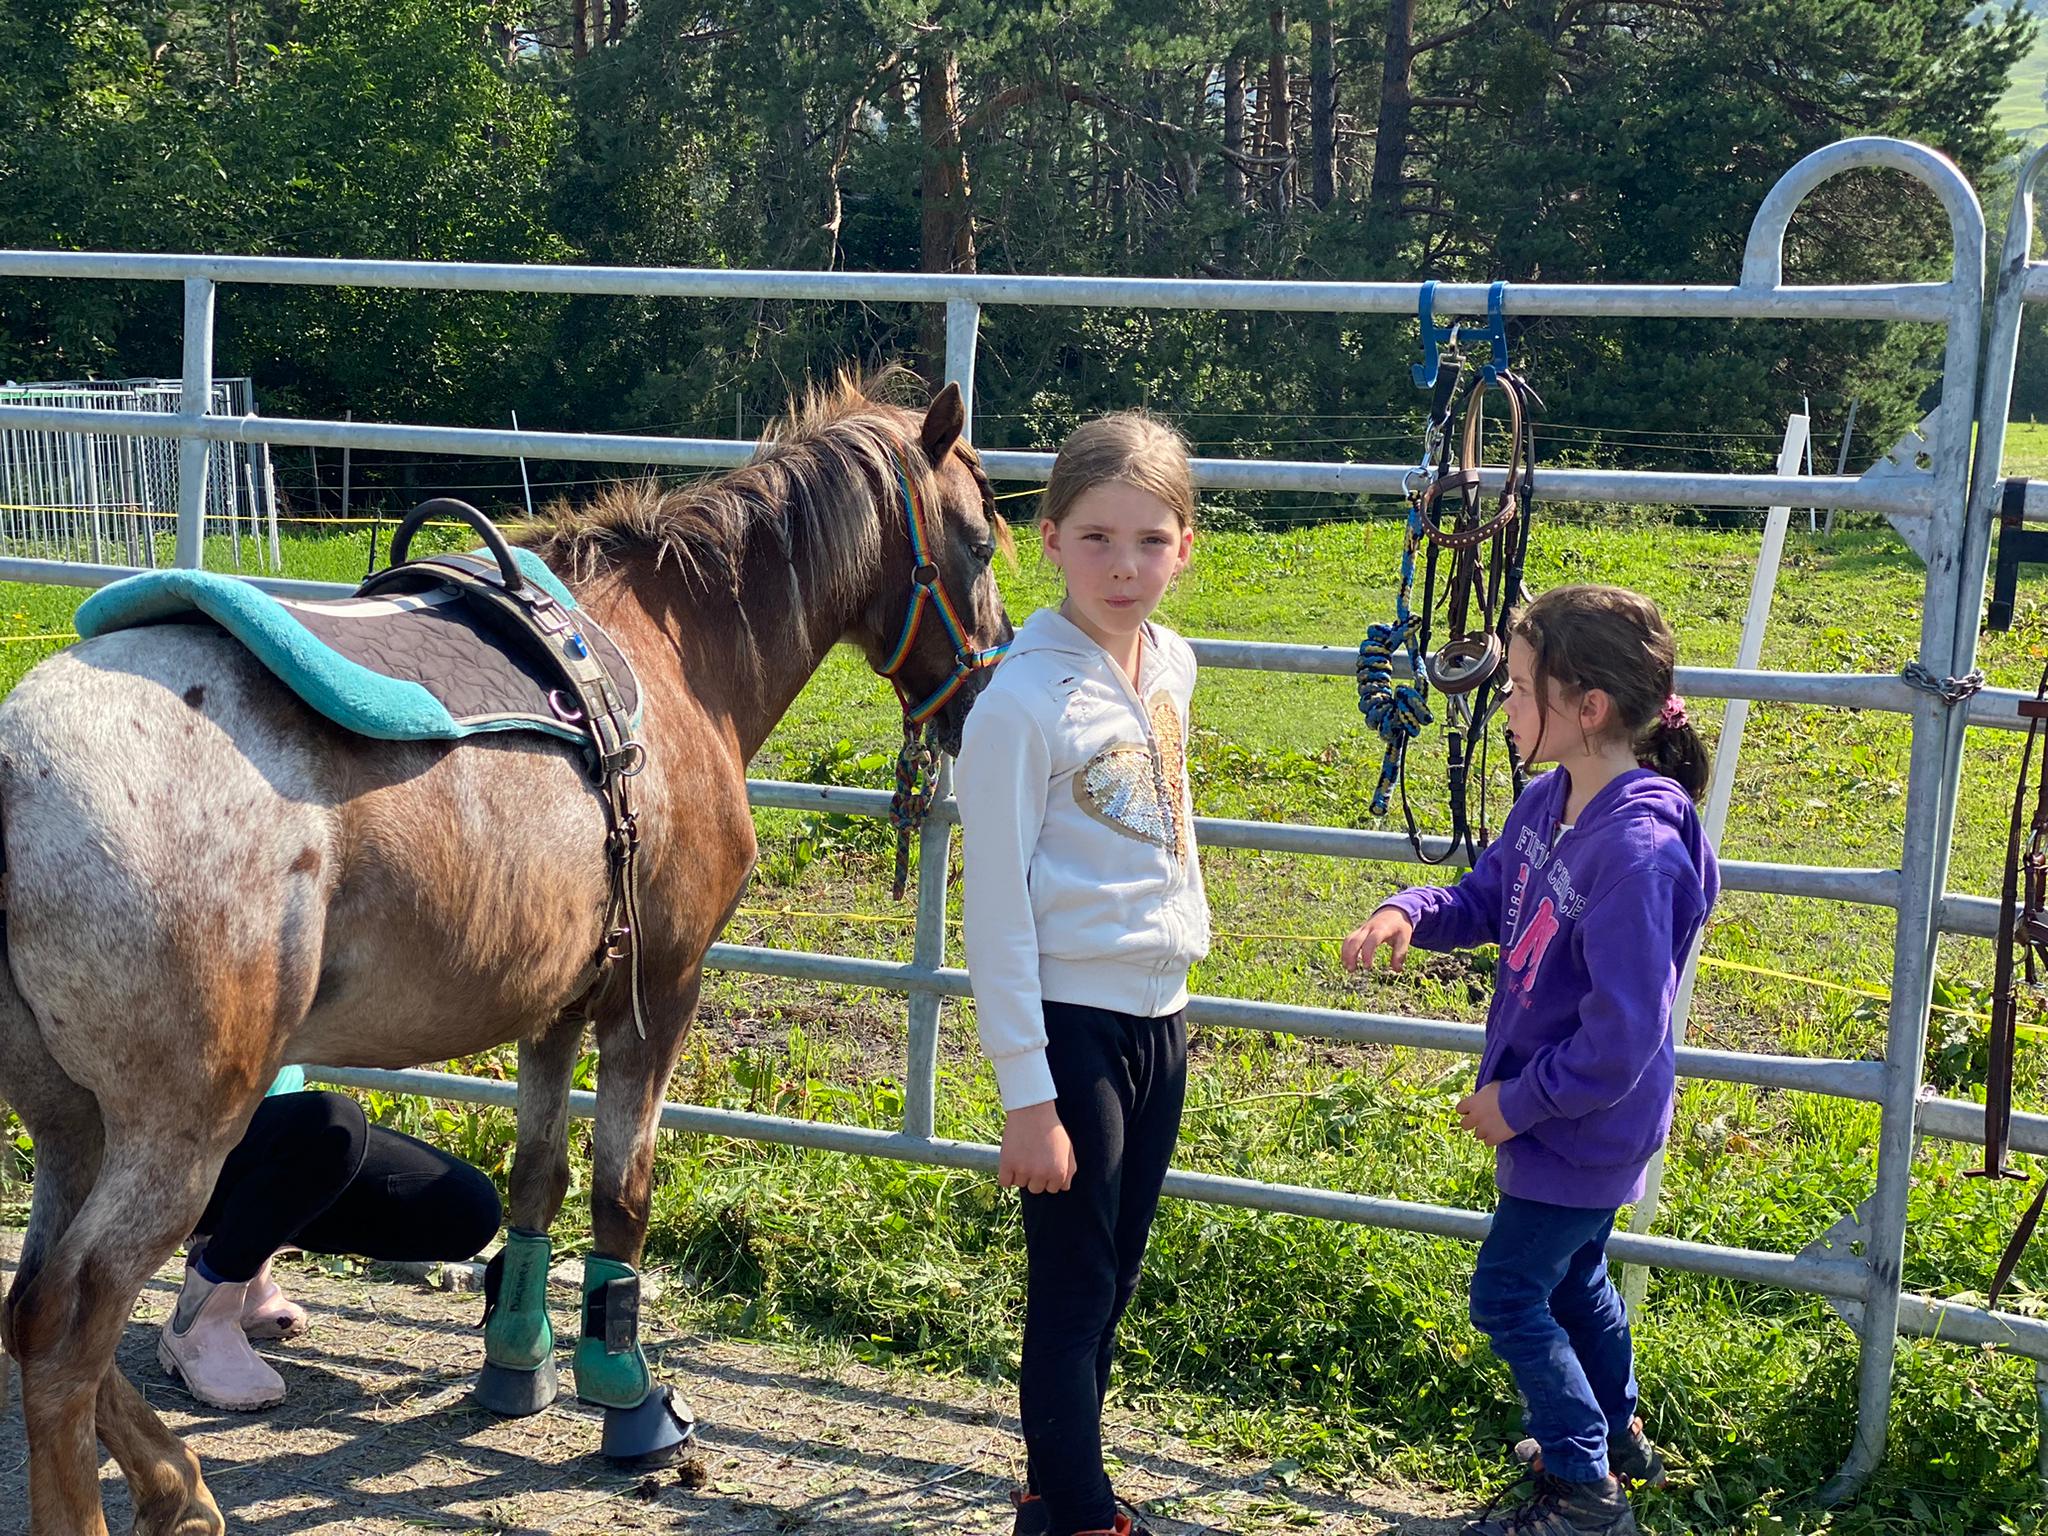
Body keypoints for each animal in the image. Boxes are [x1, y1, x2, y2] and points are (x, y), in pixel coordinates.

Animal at [0, 372, 1013, 1536]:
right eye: (980, 542)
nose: (985, 687)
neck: (678, 658)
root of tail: (17, 769)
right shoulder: (658, 991)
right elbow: (623, 1187)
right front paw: (626, 1392)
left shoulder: (558, 1001)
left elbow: (538, 1176)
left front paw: (516, 1358)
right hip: (178, 1131)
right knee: (71, 1326)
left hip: (71, 1121)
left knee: (32, 1307)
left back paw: (177, 1485)